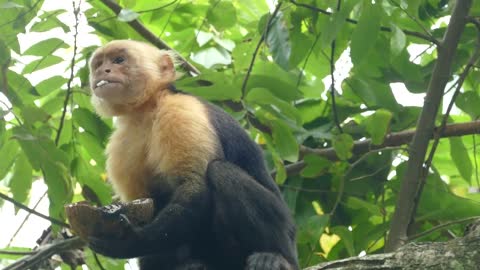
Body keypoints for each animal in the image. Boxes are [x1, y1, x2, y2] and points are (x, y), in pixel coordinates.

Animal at [86, 40, 296, 270]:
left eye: (119, 60)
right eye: (98, 65)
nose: (103, 71)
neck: (146, 108)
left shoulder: (180, 111)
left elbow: (194, 187)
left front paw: (130, 241)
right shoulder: (121, 142)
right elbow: (144, 202)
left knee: (221, 171)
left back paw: (273, 256)